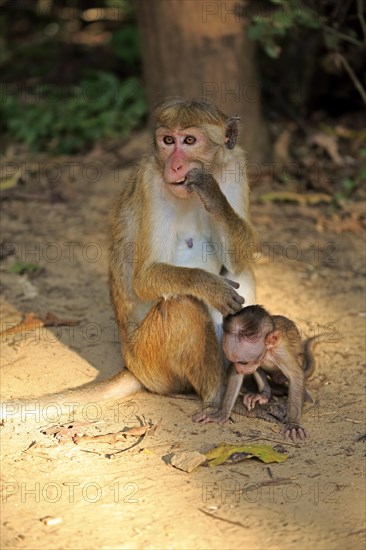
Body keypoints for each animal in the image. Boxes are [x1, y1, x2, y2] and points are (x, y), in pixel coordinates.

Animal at [1, 98, 256, 422]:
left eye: (189, 140)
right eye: (168, 141)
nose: (175, 165)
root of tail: (131, 367)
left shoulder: (235, 166)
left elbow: (239, 259)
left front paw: (212, 194)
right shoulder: (150, 180)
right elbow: (145, 277)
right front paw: (209, 286)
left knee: (243, 272)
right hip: (151, 362)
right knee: (183, 305)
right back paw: (215, 398)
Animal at [193, 308, 316, 442]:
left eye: (244, 362)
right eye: (235, 361)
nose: (240, 369)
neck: (267, 353)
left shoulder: (281, 353)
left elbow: (296, 375)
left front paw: (293, 424)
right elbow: (236, 375)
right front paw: (221, 413)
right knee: (259, 369)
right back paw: (264, 394)